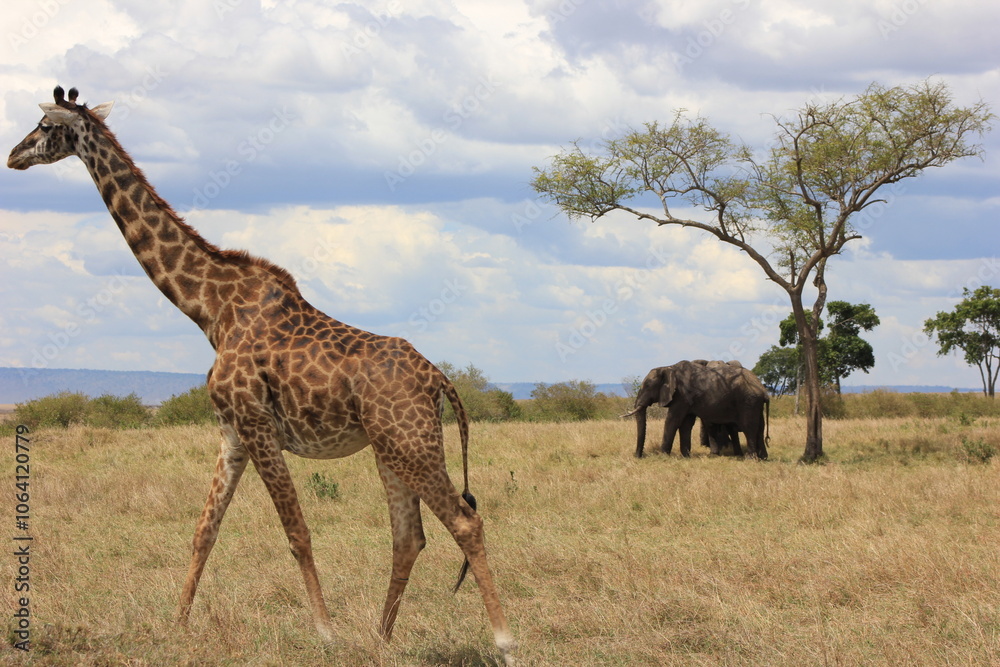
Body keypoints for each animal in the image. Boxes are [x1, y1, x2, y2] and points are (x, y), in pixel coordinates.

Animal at [7, 87, 515, 664]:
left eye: (44, 126)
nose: (14, 156)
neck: (208, 308)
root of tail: (440, 381)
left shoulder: (257, 424)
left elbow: (297, 532)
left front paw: (325, 632)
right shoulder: (231, 431)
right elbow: (204, 529)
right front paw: (177, 625)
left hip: (412, 442)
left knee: (464, 522)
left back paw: (503, 641)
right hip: (392, 447)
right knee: (409, 536)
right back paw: (380, 638)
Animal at [623, 359, 770, 459]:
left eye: (647, 385)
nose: (638, 456)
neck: (668, 367)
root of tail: (763, 391)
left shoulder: (681, 396)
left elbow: (672, 421)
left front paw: (663, 455)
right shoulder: (686, 400)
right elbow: (686, 424)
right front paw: (686, 455)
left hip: (748, 402)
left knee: (748, 427)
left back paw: (750, 458)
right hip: (755, 404)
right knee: (760, 428)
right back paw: (763, 457)